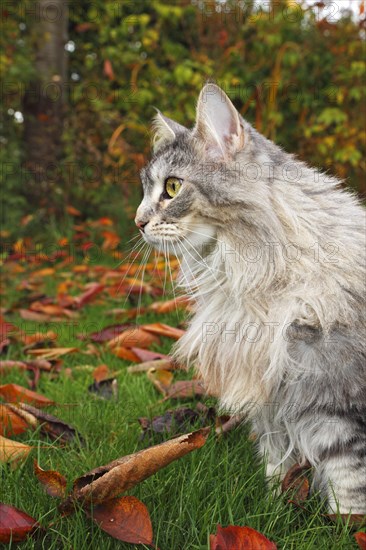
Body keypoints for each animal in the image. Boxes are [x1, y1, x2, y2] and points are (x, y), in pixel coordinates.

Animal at [135, 82, 366, 516]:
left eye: (172, 187)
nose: (138, 222)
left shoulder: (337, 404)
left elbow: (349, 489)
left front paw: (346, 526)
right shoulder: (270, 403)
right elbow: (277, 469)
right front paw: (275, 511)